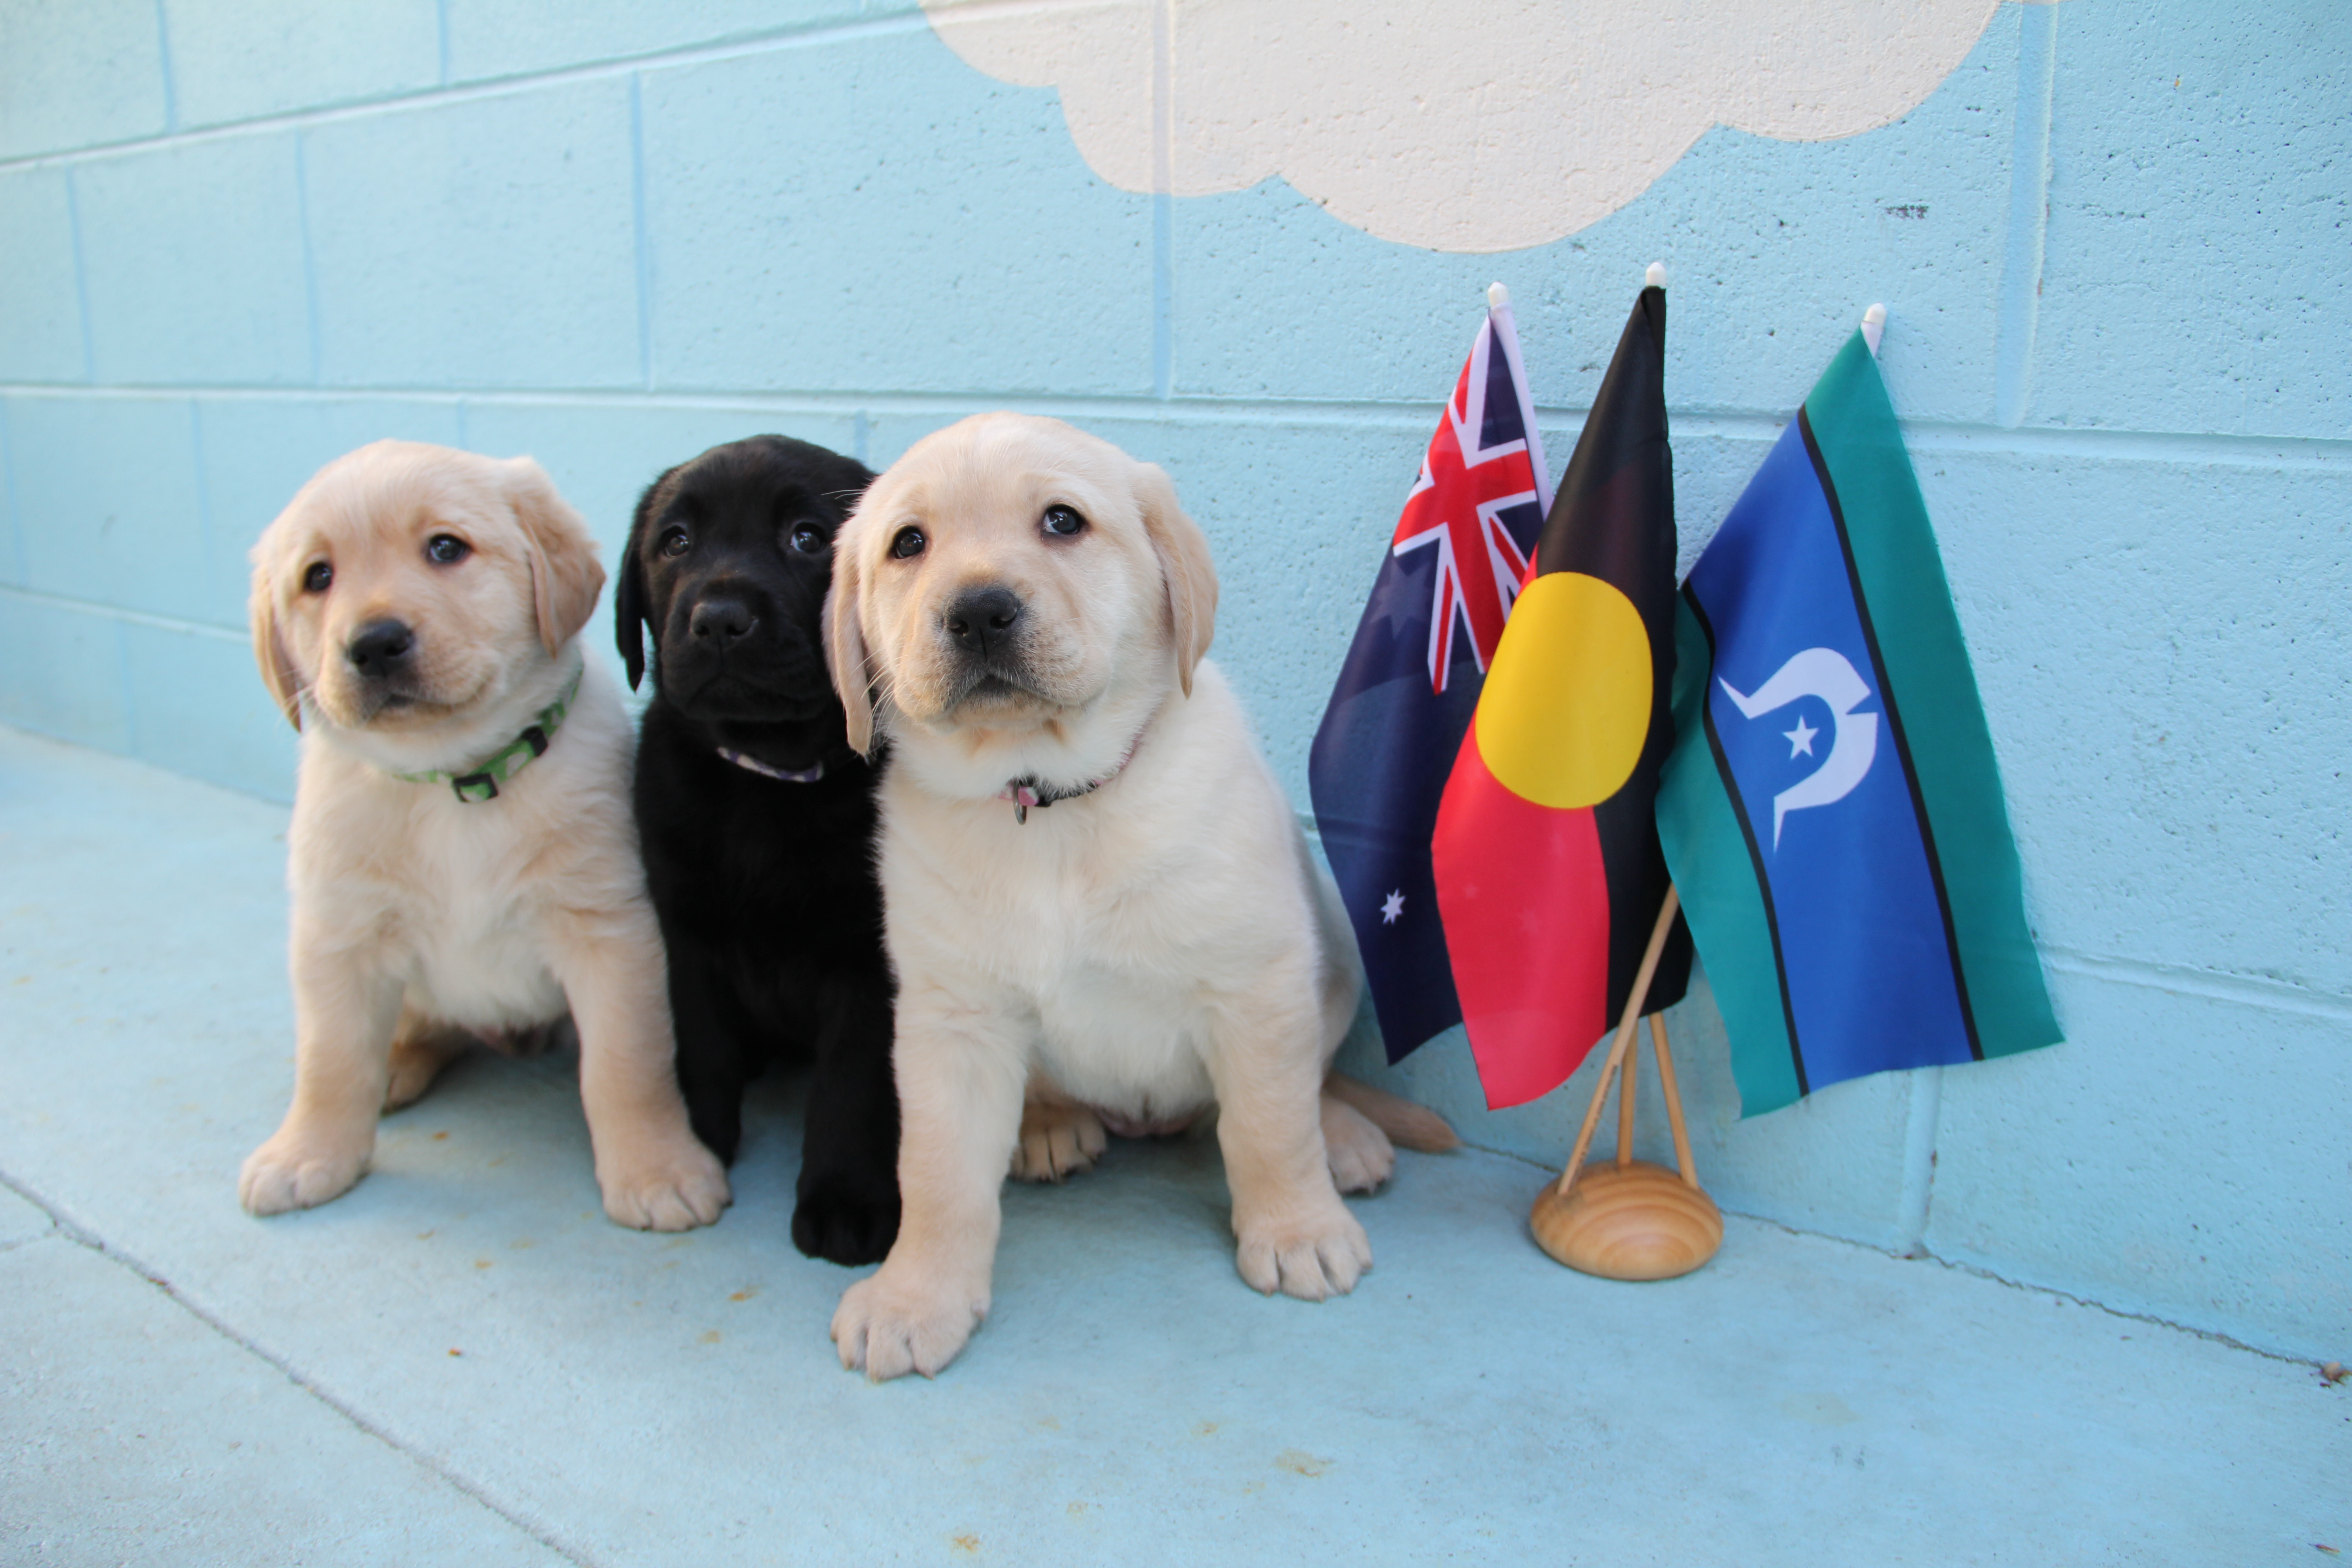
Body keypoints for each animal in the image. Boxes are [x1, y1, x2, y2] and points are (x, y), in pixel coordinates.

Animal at [241, 435, 724, 1232]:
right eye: (318, 577)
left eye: (446, 548)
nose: (374, 644)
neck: (455, 780)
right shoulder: (337, 937)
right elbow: (330, 1060)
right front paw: (307, 1154)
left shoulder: (609, 933)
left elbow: (625, 1066)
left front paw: (658, 1169)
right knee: (414, 1027)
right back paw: (394, 1067)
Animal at [616, 435, 898, 1269]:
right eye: (675, 542)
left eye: (807, 538)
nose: (718, 621)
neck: (769, 777)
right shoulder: (685, 931)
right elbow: (699, 1042)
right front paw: (689, 1146)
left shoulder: (869, 962)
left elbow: (850, 1085)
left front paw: (844, 1198)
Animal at [828, 411, 1449, 1382]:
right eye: (908, 544)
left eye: (1061, 521)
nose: (976, 611)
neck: (1046, 800)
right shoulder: (950, 1019)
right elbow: (934, 1172)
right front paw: (913, 1296)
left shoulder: (1254, 981)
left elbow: (1268, 1124)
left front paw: (1297, 1229)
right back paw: (1048, 1126)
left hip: (1334, 953)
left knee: (1299, 1084)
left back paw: (1341, 1136)